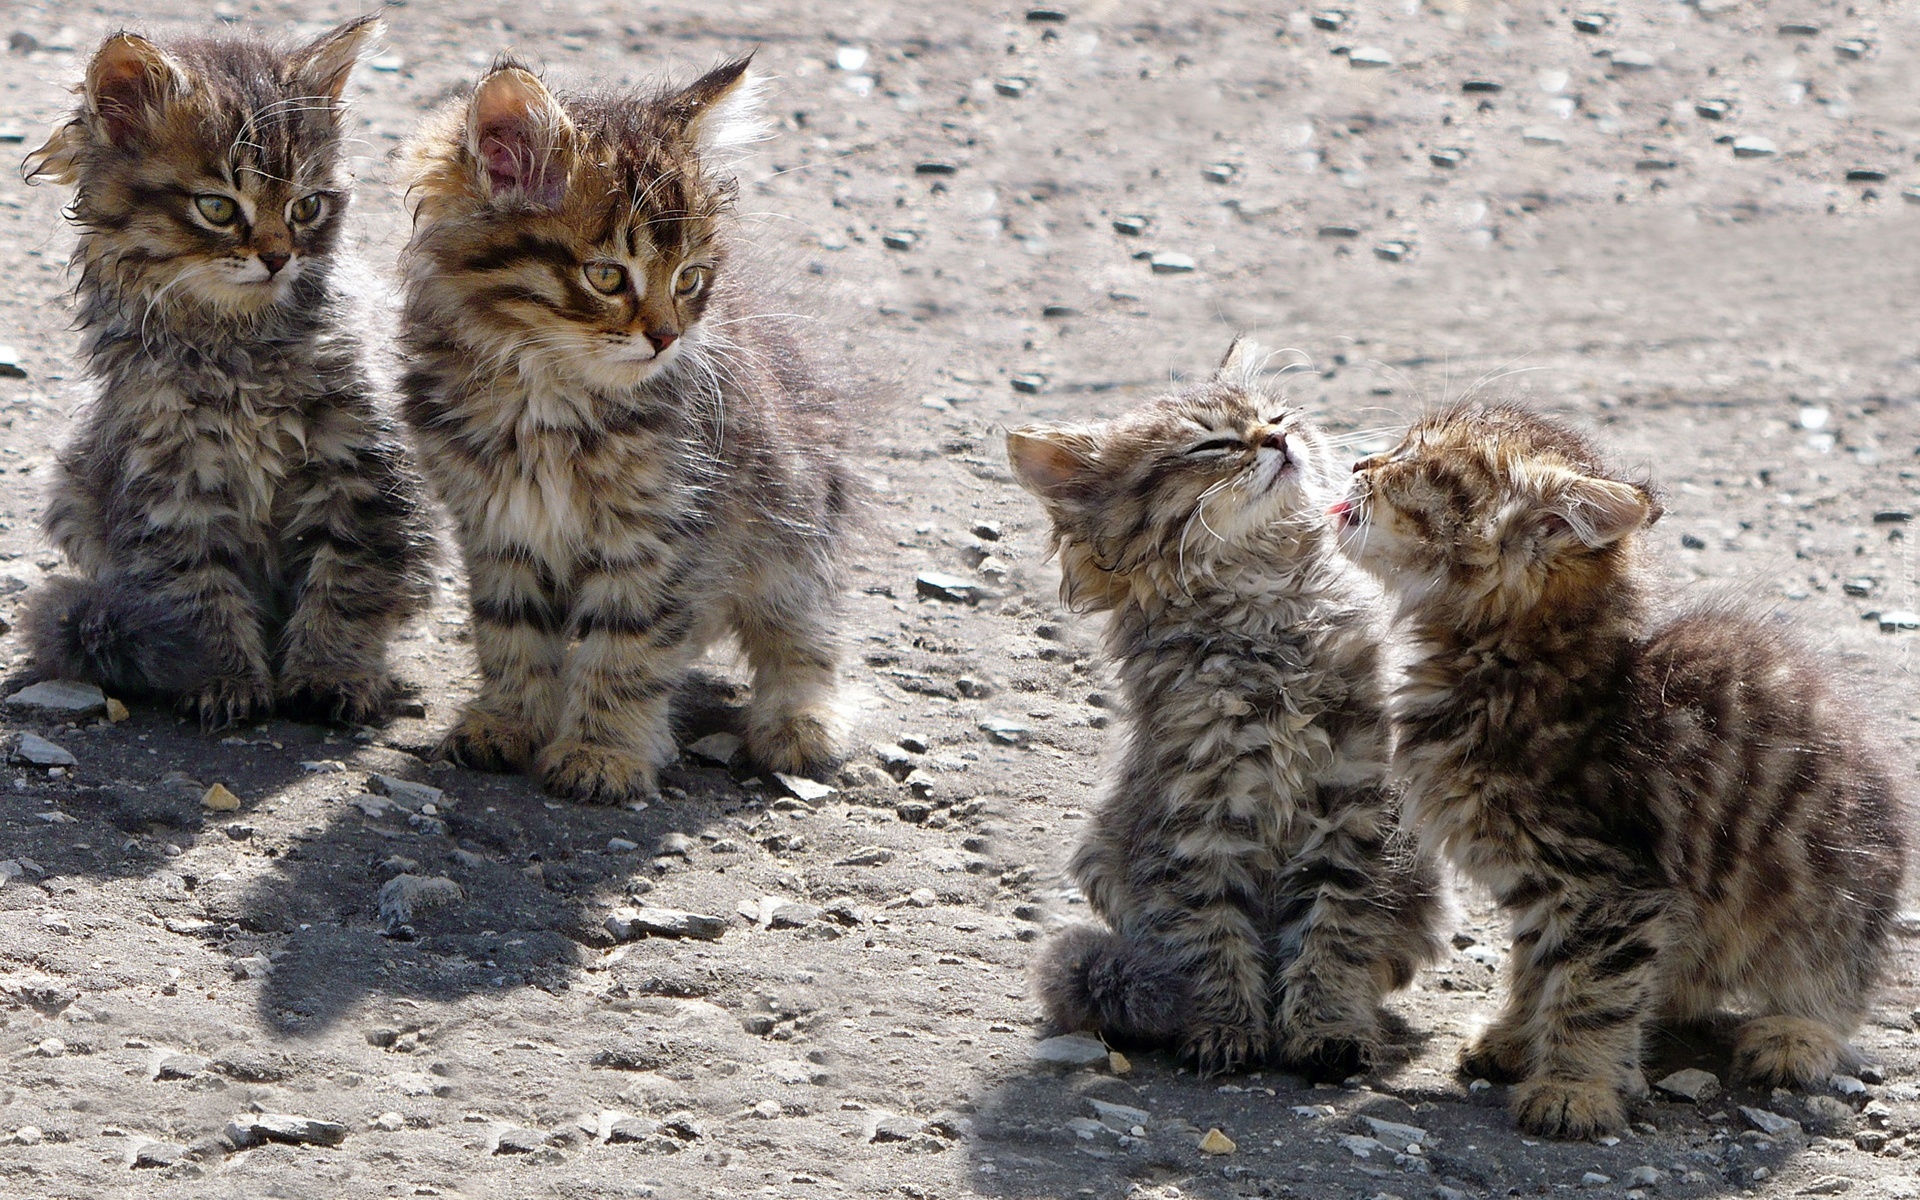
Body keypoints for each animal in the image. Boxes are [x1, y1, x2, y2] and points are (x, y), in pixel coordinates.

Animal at [22, 18, 435, 725]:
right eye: (217, 208)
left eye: (306, 208)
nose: (276, 257)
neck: (236, 349)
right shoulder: (169, 480)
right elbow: (197, 592)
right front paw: (226, 677)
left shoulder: (361, 461)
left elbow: (350, 580)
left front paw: (331, 673)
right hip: (75, 486)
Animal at [397, 58, 856, 806]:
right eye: (607, 275)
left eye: (691, 278)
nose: (668, 338)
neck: (545, 398)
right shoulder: (498, 525)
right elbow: (511, 633)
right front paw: (511, 722)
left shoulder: (665, 534)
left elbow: (627, 650)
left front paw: (601, 753)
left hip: (794, 528)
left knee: (804, 634)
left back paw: (800, 724)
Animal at [1021, 339, 1443, 1075]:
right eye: (1212, 444)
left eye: (1276, 417)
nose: (1276, 439)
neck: (1269, 622)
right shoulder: (1196, 818)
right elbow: (1209, 934)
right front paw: (1227, 1027)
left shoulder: (1353, 805)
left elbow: (1336, 931)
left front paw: (1327, 1028)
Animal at [1336, 403, 1904, 1128]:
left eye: (1419, 465)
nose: (1359, 463)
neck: (1516, 665)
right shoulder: (1542, 884)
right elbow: (1537, 967)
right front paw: (1518, 1038)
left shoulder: (1610, 880)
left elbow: (1591, 993)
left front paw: (1573, 1087)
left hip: (1830, 897)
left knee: (1836, 985)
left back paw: (1795, 1035)